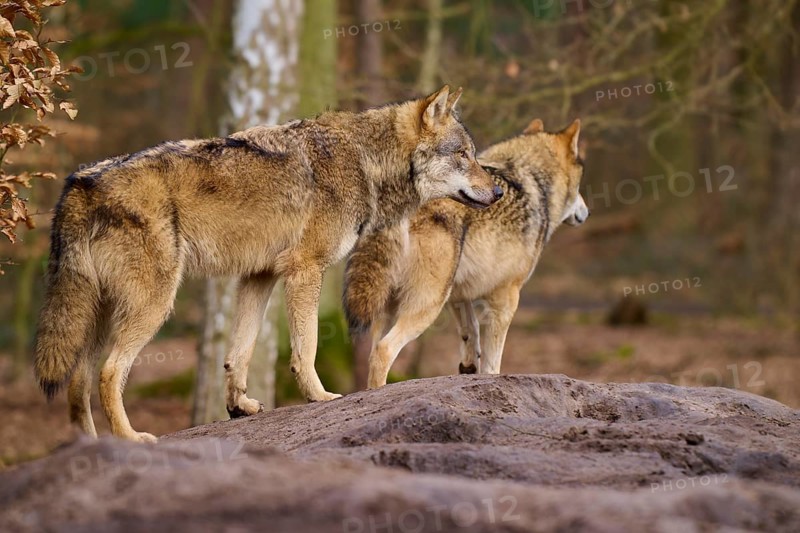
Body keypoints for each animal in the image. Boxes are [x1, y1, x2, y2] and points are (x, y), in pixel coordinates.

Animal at [33, 86, 501, 442]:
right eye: (463, 154)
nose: (498, 191)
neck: (365, 159)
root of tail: (80, 182)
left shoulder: (257, 277)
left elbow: (238, 354)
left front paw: (238, 406)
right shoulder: (305, 269)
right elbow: (306, 347)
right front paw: (320, 397)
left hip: (101, 313)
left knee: (77, 383)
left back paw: (92, 446)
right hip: (152, 306)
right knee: (109, 374)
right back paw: (130, 438)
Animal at [343, 118, 588, 389]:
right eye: (580, 186)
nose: (585, 212)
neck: (530, 177)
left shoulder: (459, 293)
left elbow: (470, 330)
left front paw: (469, 367)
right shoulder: (505, 298)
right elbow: (493, 362)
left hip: (386, 303)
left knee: (373, 348)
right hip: (428, 303)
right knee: (383, 351)